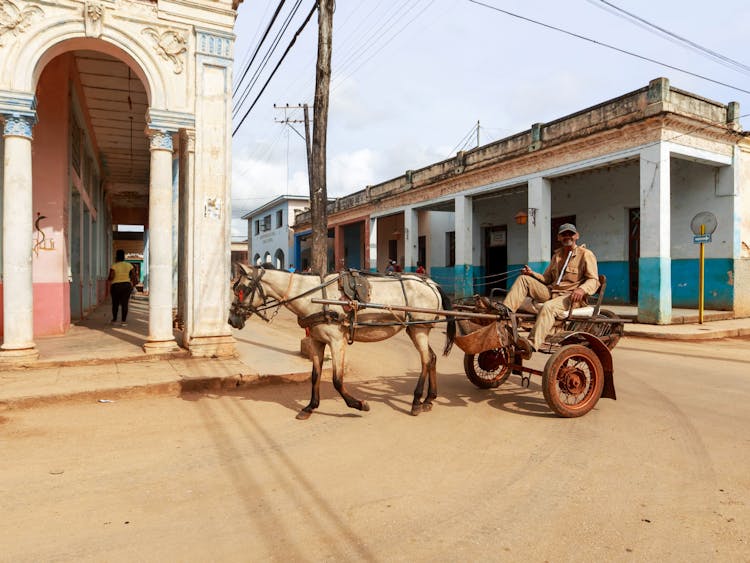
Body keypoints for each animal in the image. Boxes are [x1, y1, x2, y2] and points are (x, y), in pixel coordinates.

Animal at [229, 266, 456, 420]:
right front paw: (310, 407)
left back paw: (416, 401)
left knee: (425, 360)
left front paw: (359, 404)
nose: (231, 319)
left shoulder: (337, 341)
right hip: (415, 328)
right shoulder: (317, 340)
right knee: (432, 358)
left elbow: (337, 380)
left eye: (241, 288)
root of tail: (431, 284)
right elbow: (315, 375)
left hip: (419, 329)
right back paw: (429, 399)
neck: (313, 296)